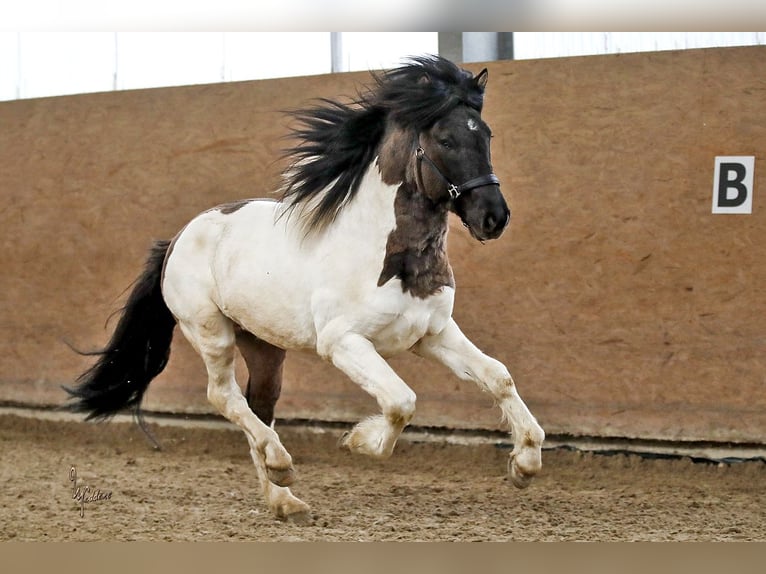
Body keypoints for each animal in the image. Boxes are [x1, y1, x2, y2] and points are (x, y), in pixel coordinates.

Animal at [66, 56, 544, 524]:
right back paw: (282, 464)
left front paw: (524, 464)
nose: (494, 217)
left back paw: (283, 499)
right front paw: (357, 442)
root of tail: (177, 238)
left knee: (257, 404)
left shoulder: (432, 334)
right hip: (210, 331)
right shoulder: (343, 343)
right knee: (224, 396)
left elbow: (498, 376)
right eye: (445, 139)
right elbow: (401, 401)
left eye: (486, 134)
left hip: (263, 346)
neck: (387, 253)